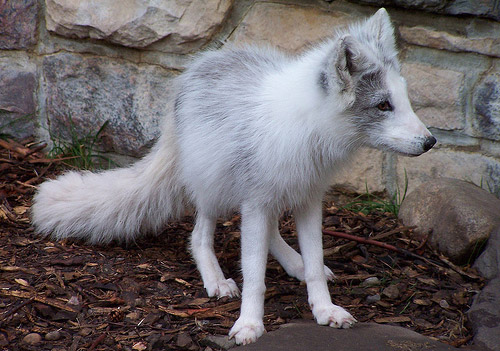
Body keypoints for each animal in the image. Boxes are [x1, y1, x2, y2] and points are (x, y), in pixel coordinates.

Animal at [33, 8, 436, 346]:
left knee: (271, 235)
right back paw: (216, 279)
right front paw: (250, 325)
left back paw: (294, 264)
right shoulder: (256, 201)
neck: (308, 128)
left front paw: (324, 309)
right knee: (198, 236)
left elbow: (312, 267)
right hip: (214, 186)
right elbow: (254, 276)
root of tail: (193, 71)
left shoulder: (308, 200)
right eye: (383, 105)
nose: (430, 141)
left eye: (404, 100)